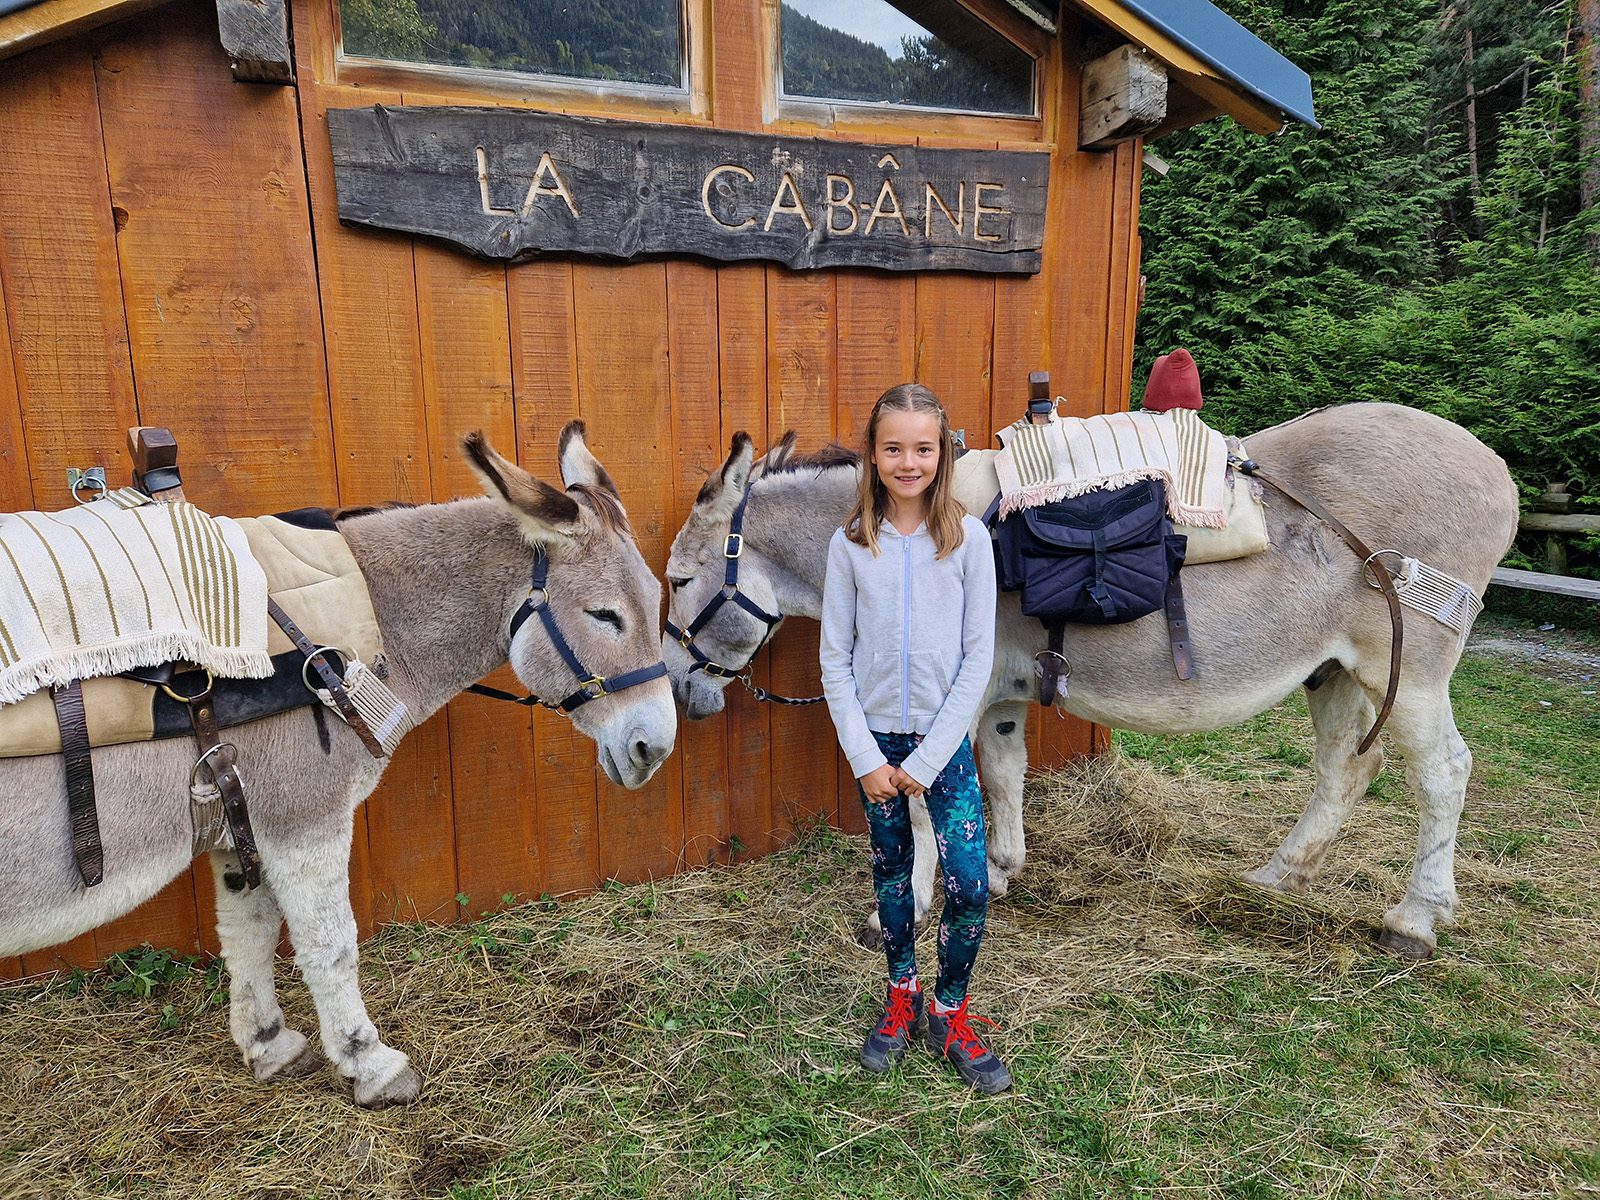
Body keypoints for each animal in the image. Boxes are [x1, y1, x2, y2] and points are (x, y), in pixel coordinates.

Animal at [0, 423, 676, 1107]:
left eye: (657, 598)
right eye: (605, 615)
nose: (656, 748)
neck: (365, 617)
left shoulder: (238, 815)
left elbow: (247, 930)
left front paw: (267, 1046)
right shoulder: (304, 816)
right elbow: (329, 944)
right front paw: (368, 1063)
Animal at [662, 403, 1520, 961]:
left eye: (674, 580)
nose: (675, 696)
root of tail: (1497, 469)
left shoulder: (955, 690)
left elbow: (929, 796)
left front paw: (906, 909)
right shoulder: (1001, 691)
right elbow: (1003, 771)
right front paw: (1001, 870)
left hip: (1407, 668)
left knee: (1443, 773)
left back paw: (1414, 919)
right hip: (1332, 666)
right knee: (1347, 766)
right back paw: (1279, 876)